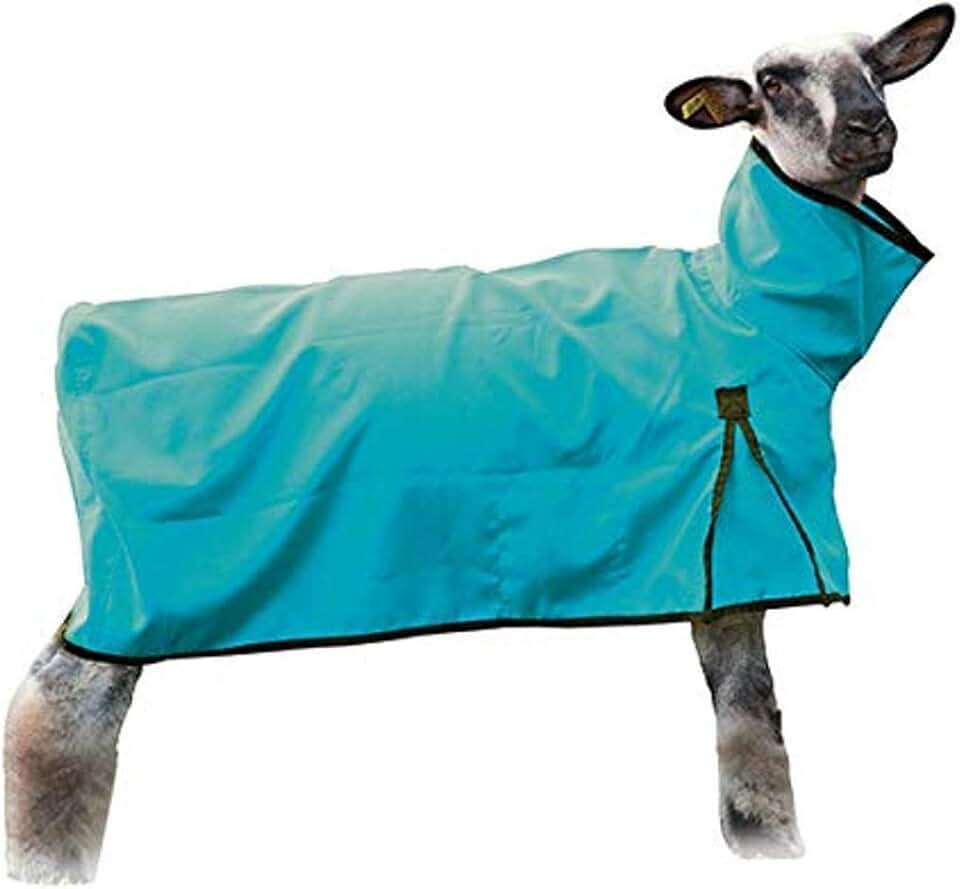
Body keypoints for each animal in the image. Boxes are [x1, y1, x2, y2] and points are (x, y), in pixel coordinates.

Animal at [5, 4, 954, 881]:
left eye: (877, 66)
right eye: (774, 84)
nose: (871, 128)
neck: (747, 306)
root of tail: (78, 329)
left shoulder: (715, 568)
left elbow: (744, 719)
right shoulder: (745, 542)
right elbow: (755, 728)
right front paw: (775, 843)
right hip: (140, 591)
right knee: (57, 706)